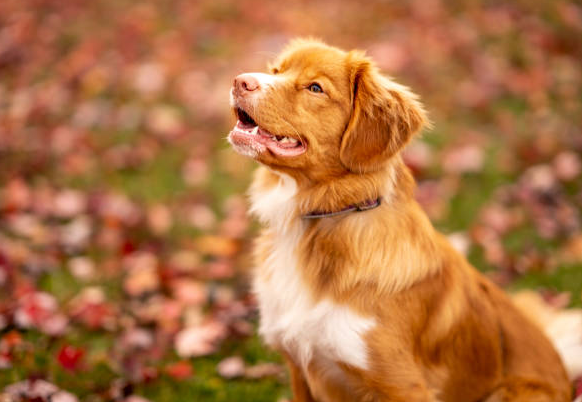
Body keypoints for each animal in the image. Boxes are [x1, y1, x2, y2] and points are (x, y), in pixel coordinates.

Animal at [227, 38, 576, 402]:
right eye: (276, 70)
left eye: (315, 88)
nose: (240, 81)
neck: (319, 218)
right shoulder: (299, 368)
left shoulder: (402, 385)